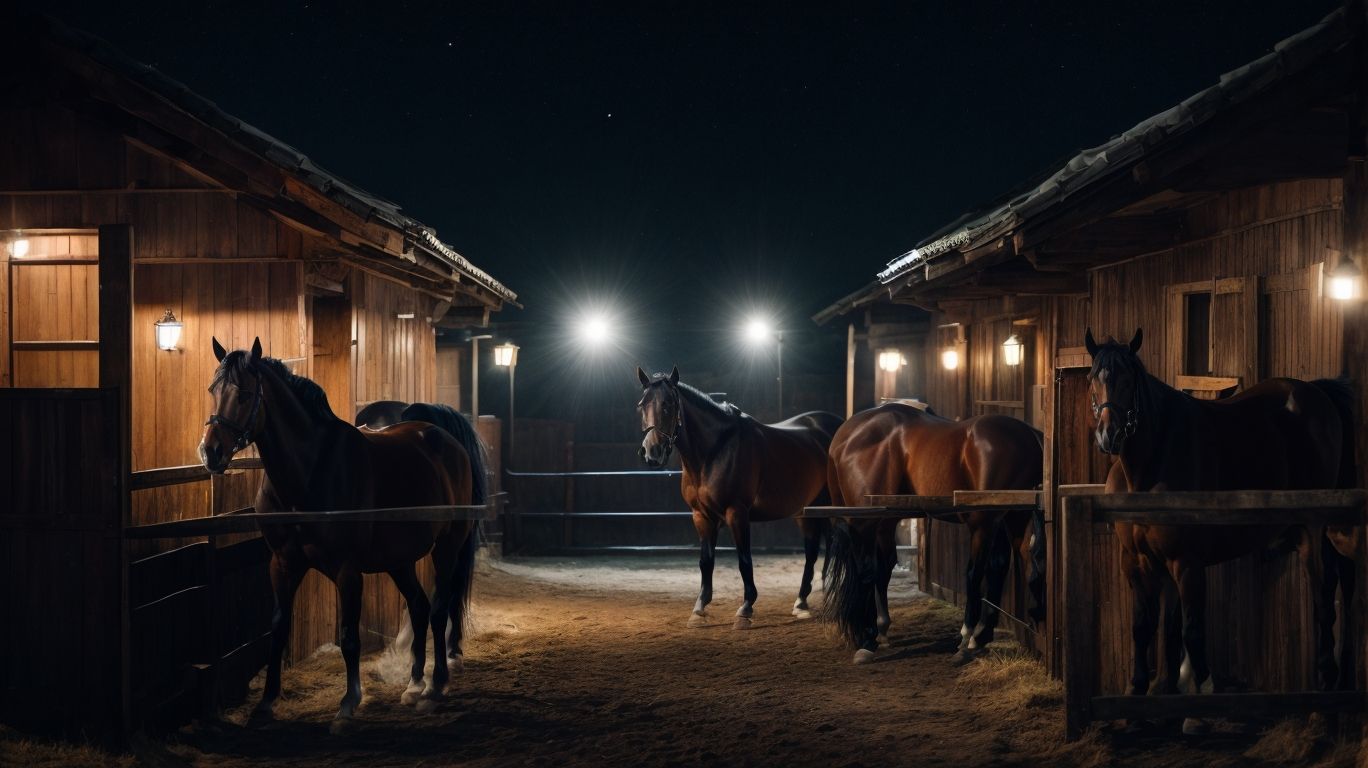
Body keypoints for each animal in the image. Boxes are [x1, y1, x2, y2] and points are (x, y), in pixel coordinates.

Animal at [199, 338, 487, 732]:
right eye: (213, 391)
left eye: (243, 394)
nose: (210, 452)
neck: (310, 470)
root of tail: (442, 437)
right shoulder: (283, 563)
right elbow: (278, 629)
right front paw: (266, 703)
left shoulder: (347, 570)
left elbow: (350, 635)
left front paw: (349, 703)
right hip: (398, 560)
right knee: (419, 607)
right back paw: (414, 684)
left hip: (446, 548)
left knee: (440, 609)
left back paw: (435, 685)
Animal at [636, 366, 843, 629]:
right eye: (641, 404)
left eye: (669, 404)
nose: (652, 453)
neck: (715, 451)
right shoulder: (701, 516)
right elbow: (706, 561)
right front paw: (699, 609)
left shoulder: (737, 512)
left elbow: (744, 560)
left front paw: (745, 609)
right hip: (806, 509)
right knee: (812, 551)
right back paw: (801, 603)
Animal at [1085, 328, 1357, 734]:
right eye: (1093, 379)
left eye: (1128, 379)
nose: (1109, 435)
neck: (1150, 464)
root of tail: (1316, 394)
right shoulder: (1137, 562)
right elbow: (1148, 628)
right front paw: (1142, 702)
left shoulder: (1186, 562)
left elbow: (1191, 629)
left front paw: (1200, 702)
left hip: (1313, 529)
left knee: (1323, 598)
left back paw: (1323, 702)